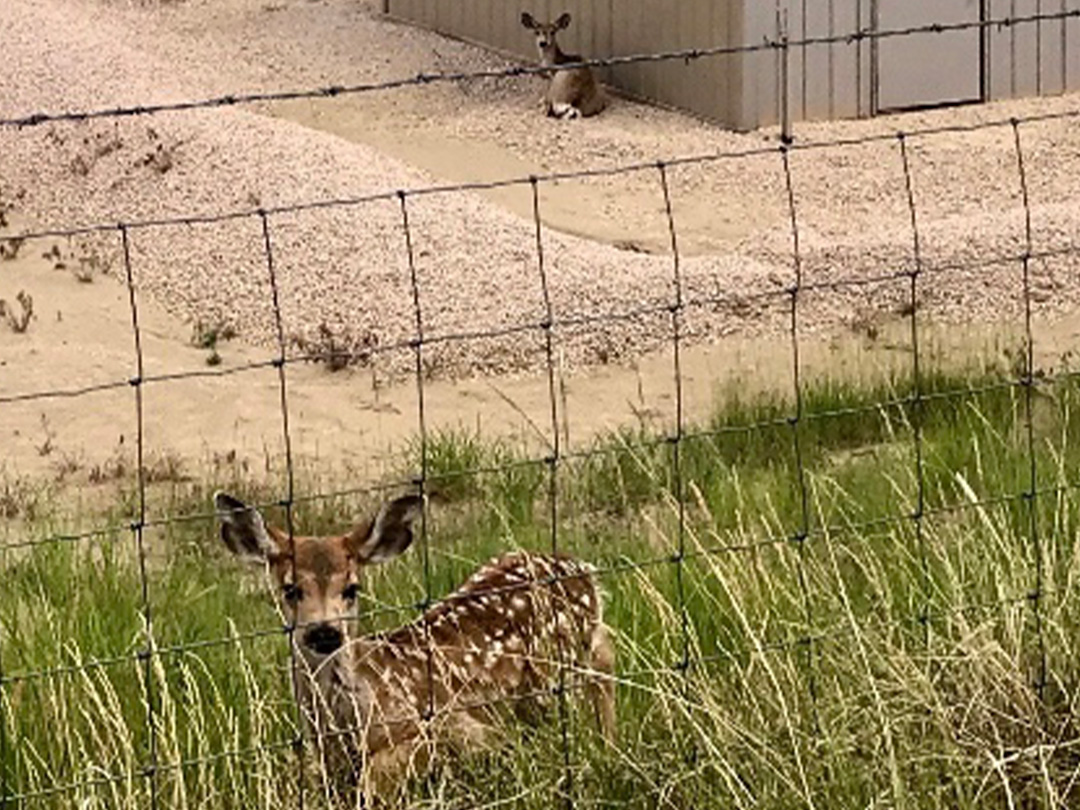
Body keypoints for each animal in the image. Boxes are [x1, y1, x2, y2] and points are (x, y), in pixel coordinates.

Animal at [212, 492, 617, 794]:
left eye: (352, 588)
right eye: (290, 589)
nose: (325, 632)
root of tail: (580, 566)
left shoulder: (452, 726)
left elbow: (377, 776)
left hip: (567, 667)